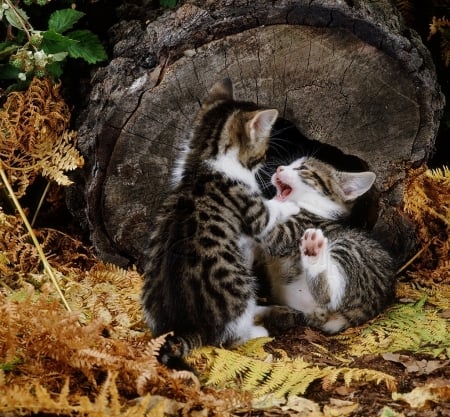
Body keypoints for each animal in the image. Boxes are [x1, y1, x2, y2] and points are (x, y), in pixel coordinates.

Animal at [141, 79, 300, 368]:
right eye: (263, 151)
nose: (267, 163)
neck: (205, 160)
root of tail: (187, 326)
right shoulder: (253, 211)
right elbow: (269, 213)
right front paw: (291, 204)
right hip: (240, 288)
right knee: (229, 339)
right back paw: (258, 330)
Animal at [258, 157, 396, 334]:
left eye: (302, 169)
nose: (279, 168)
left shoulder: (288, 233)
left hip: (348, 247)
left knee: (327, 295)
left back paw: (313, 251)